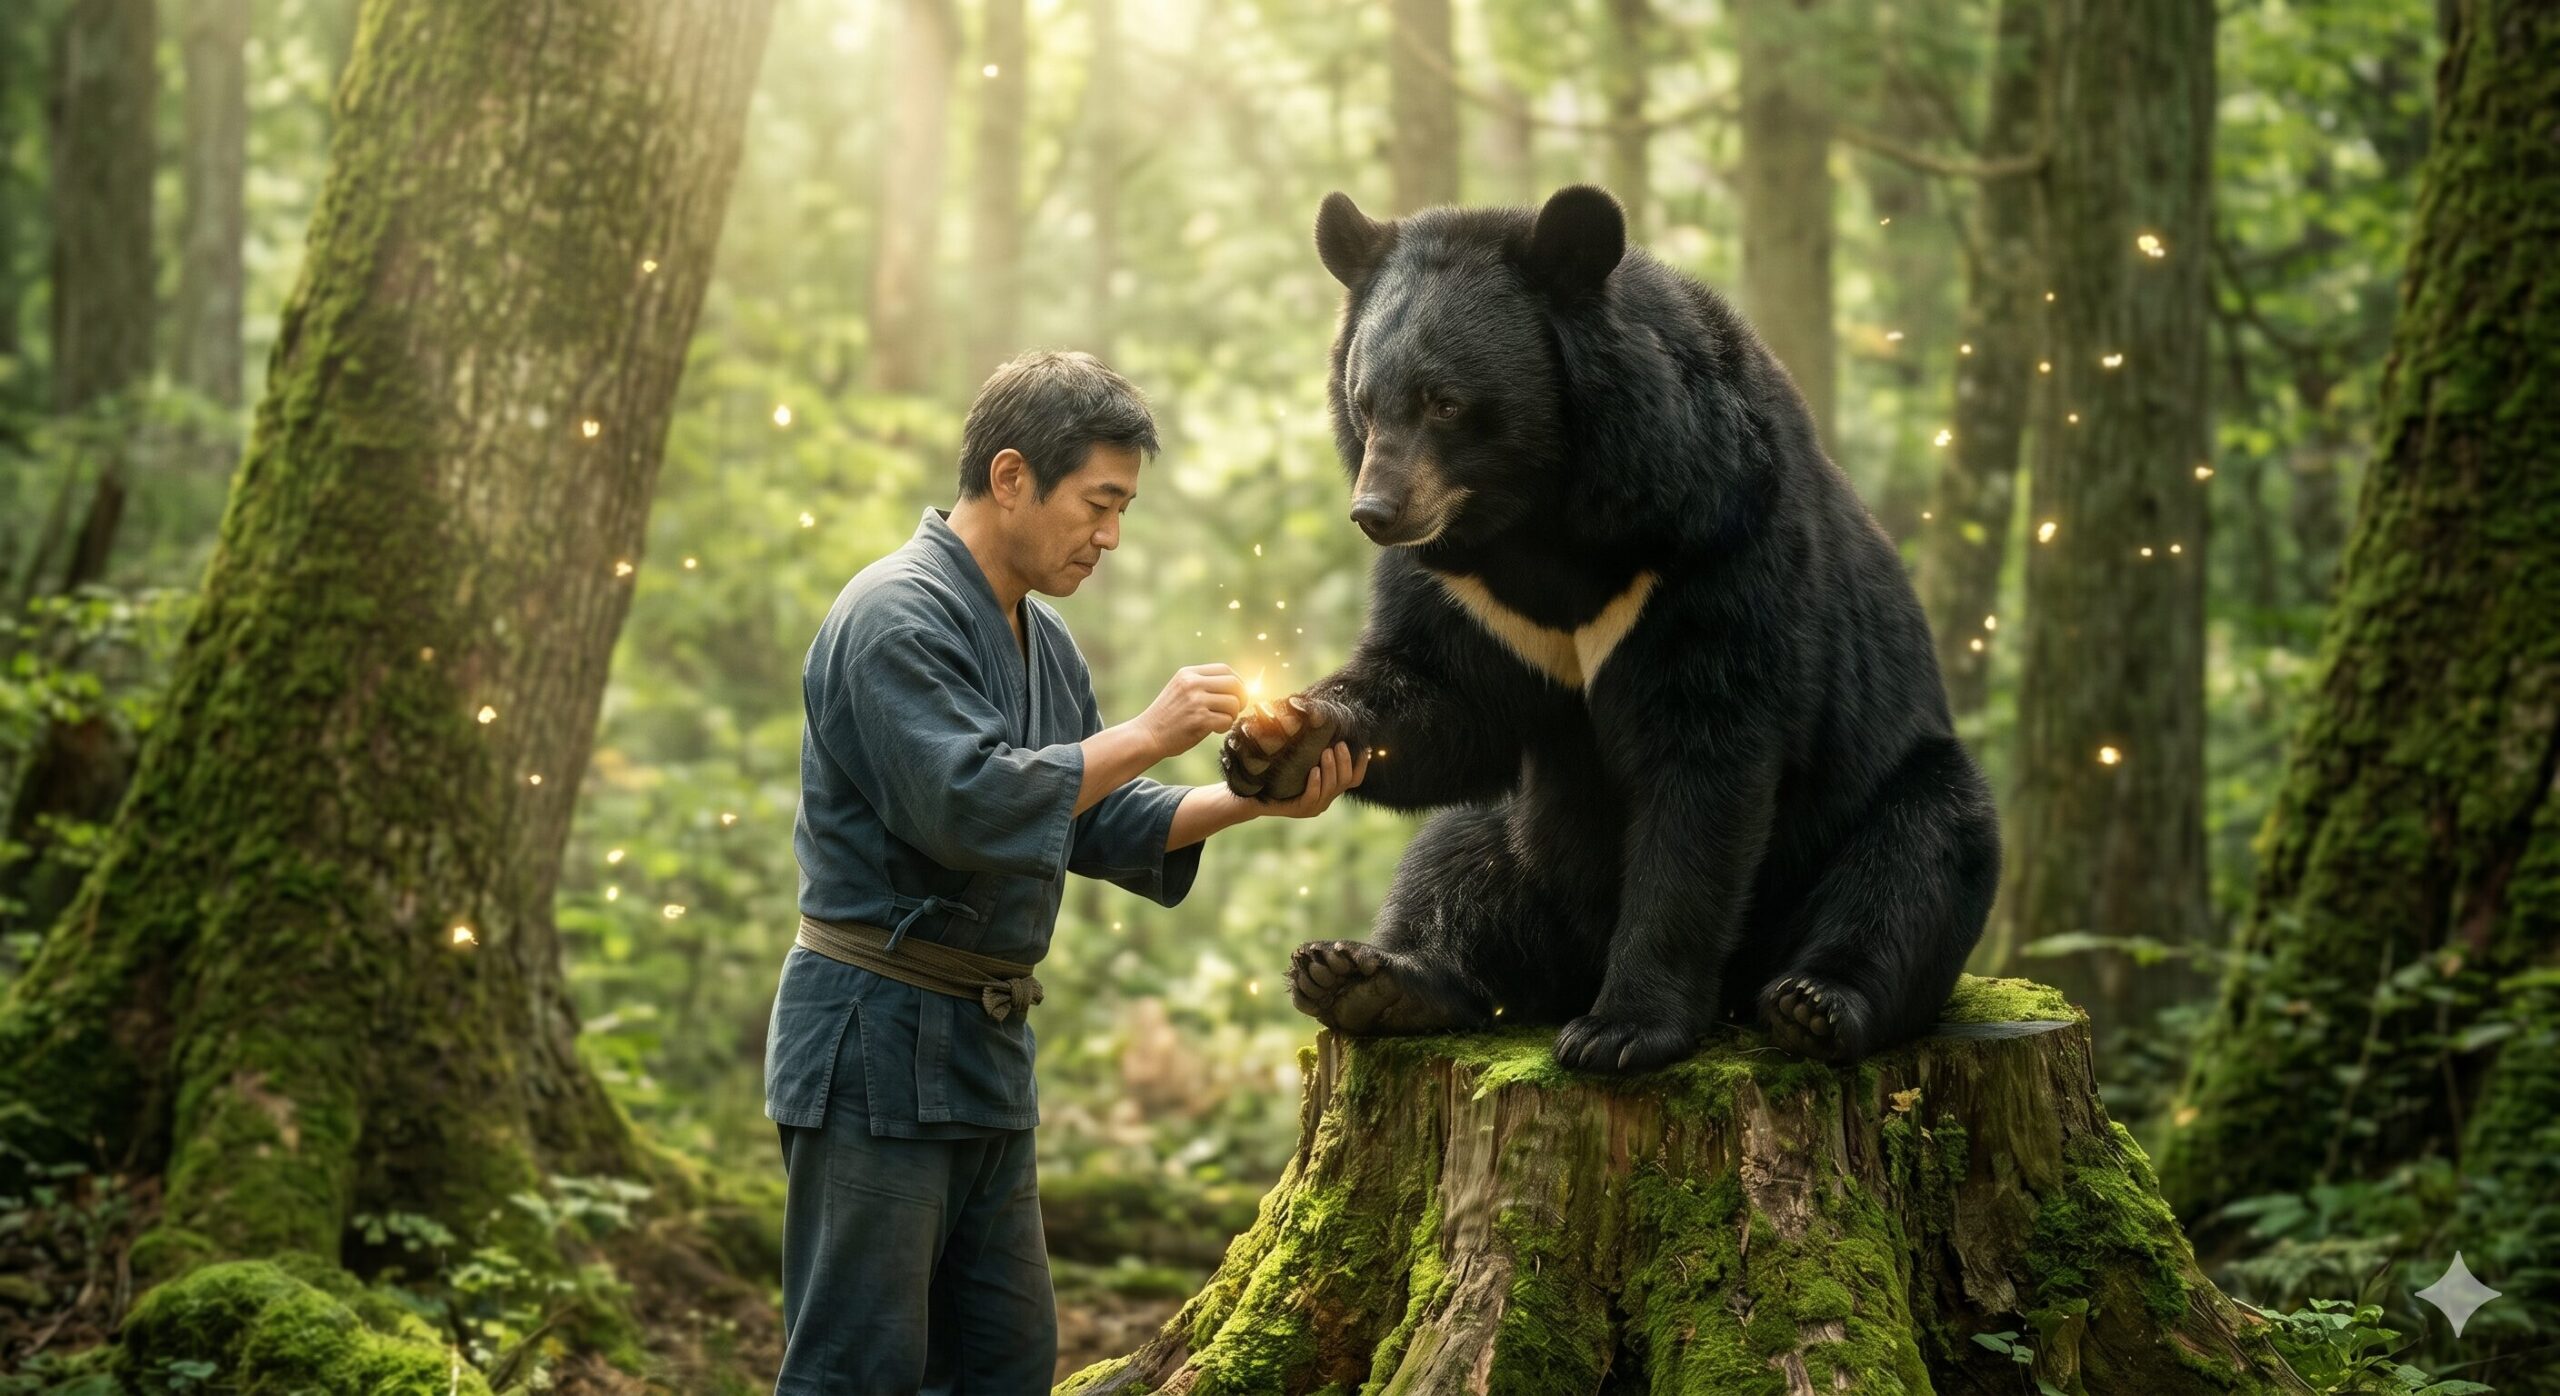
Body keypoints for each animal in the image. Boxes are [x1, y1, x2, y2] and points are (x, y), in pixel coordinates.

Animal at [1220, 185, 2001, 1073]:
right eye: (1365, 402)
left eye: (1445, 403)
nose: (1376, 513)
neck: (1540, 517)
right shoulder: (1464, 592)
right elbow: (1442, 695)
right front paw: (1280, 743)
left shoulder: (1713, 548)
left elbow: (1703, 774)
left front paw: (1621, 1032)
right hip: (1516, 838)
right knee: (1452, 861)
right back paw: (1369, 977)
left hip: (1889, 792)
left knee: (1915, 860)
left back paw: (1812, 1004)